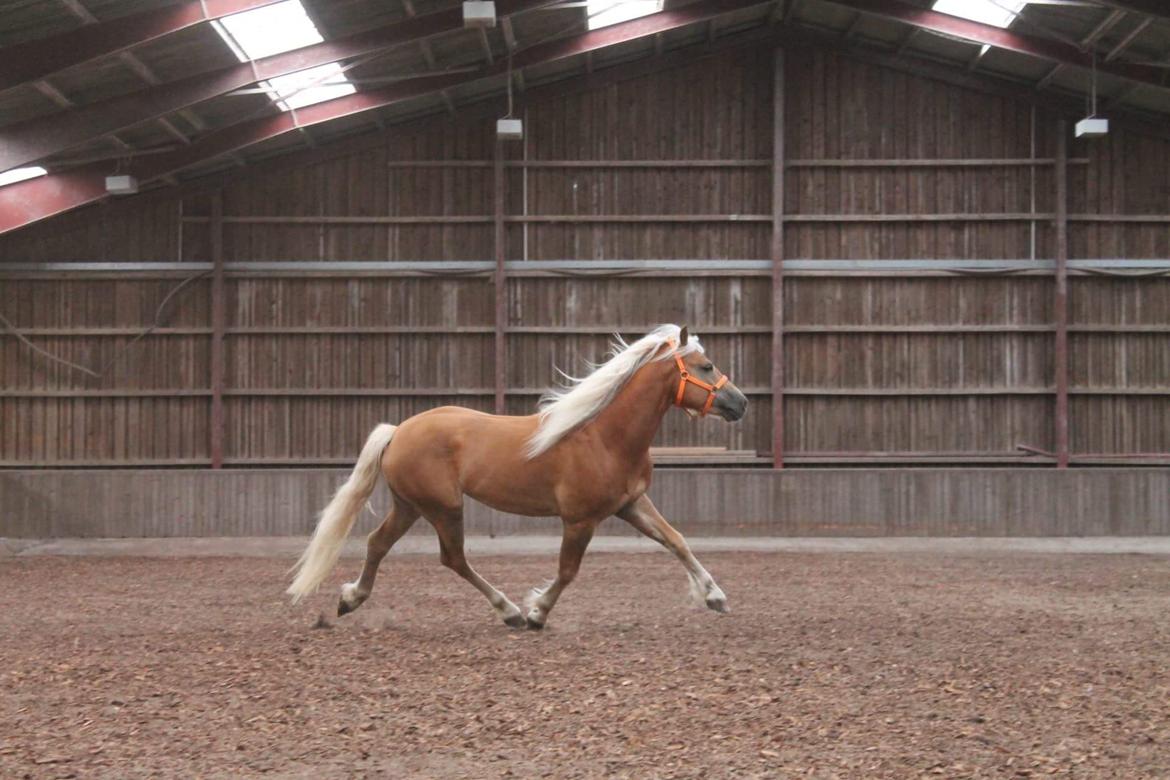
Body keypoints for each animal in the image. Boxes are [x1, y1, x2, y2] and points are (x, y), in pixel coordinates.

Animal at [287, 322, 753, 626]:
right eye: (706, 366)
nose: (740, 403)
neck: (603, 435)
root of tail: (399, 430)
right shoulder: (580, 520)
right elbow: (567, 571)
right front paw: (536, 612)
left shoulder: (631, 504)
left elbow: (676, 541)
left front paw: (715, 596)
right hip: (442, 507)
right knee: (452, 558)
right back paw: (509, 611)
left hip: (410, 505)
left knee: (378, 543)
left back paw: (350, 600)